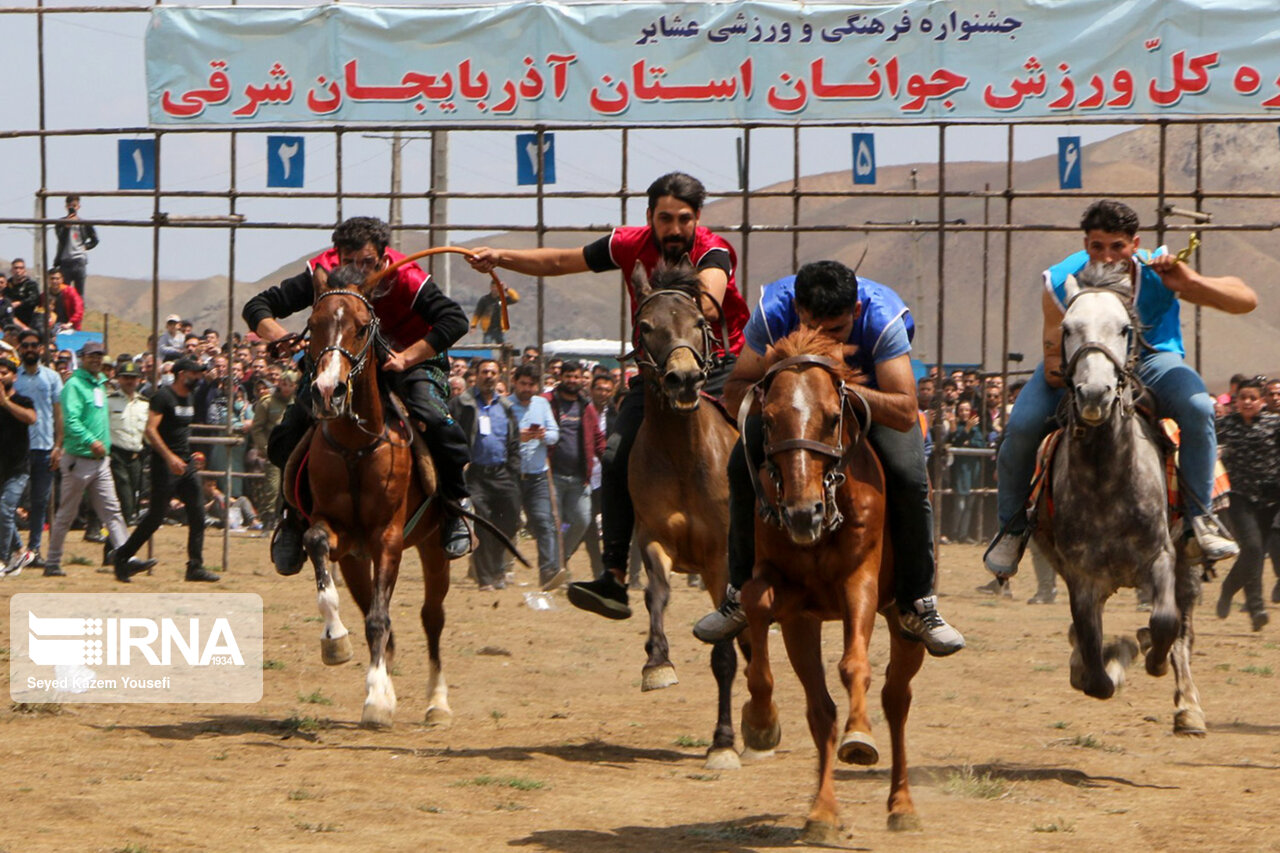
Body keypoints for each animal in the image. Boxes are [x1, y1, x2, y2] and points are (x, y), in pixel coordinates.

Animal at [302, 262, 453, 727]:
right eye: (313, 324)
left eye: (362, 326)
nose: (327, 391)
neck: (356, 444)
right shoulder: (340, 534)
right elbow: (317, 548)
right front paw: (335, 641)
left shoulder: (388, 537)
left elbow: (378, 619)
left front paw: (376, 701)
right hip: (356, 559)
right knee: (376, 612)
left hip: (433, 548)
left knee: (431, 618)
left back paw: (437, 702)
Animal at [737, 327, 926, 840]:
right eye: (769, 419)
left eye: (833, 417)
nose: (803, 514)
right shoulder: (789, 598)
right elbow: (755, 604)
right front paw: (760, 722)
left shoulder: (859, 581)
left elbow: (854, 665)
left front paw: (859, 738)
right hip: (804, 625)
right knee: (820, 711)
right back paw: (821, 812)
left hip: (902, 622)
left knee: (896, 700)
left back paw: (902, 805)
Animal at [1034, 257, 1203, 732]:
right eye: (1067, 328)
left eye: (1125, 328)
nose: (1094, 394)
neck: (1106, 479)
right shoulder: (1082, 575)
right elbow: (1094, 665)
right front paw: (1113, 656)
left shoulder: (1161, 556)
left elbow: (1164, 623)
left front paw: (1148, 653)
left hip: (1187, 562)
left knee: (1183, 627)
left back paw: (1188, 706)